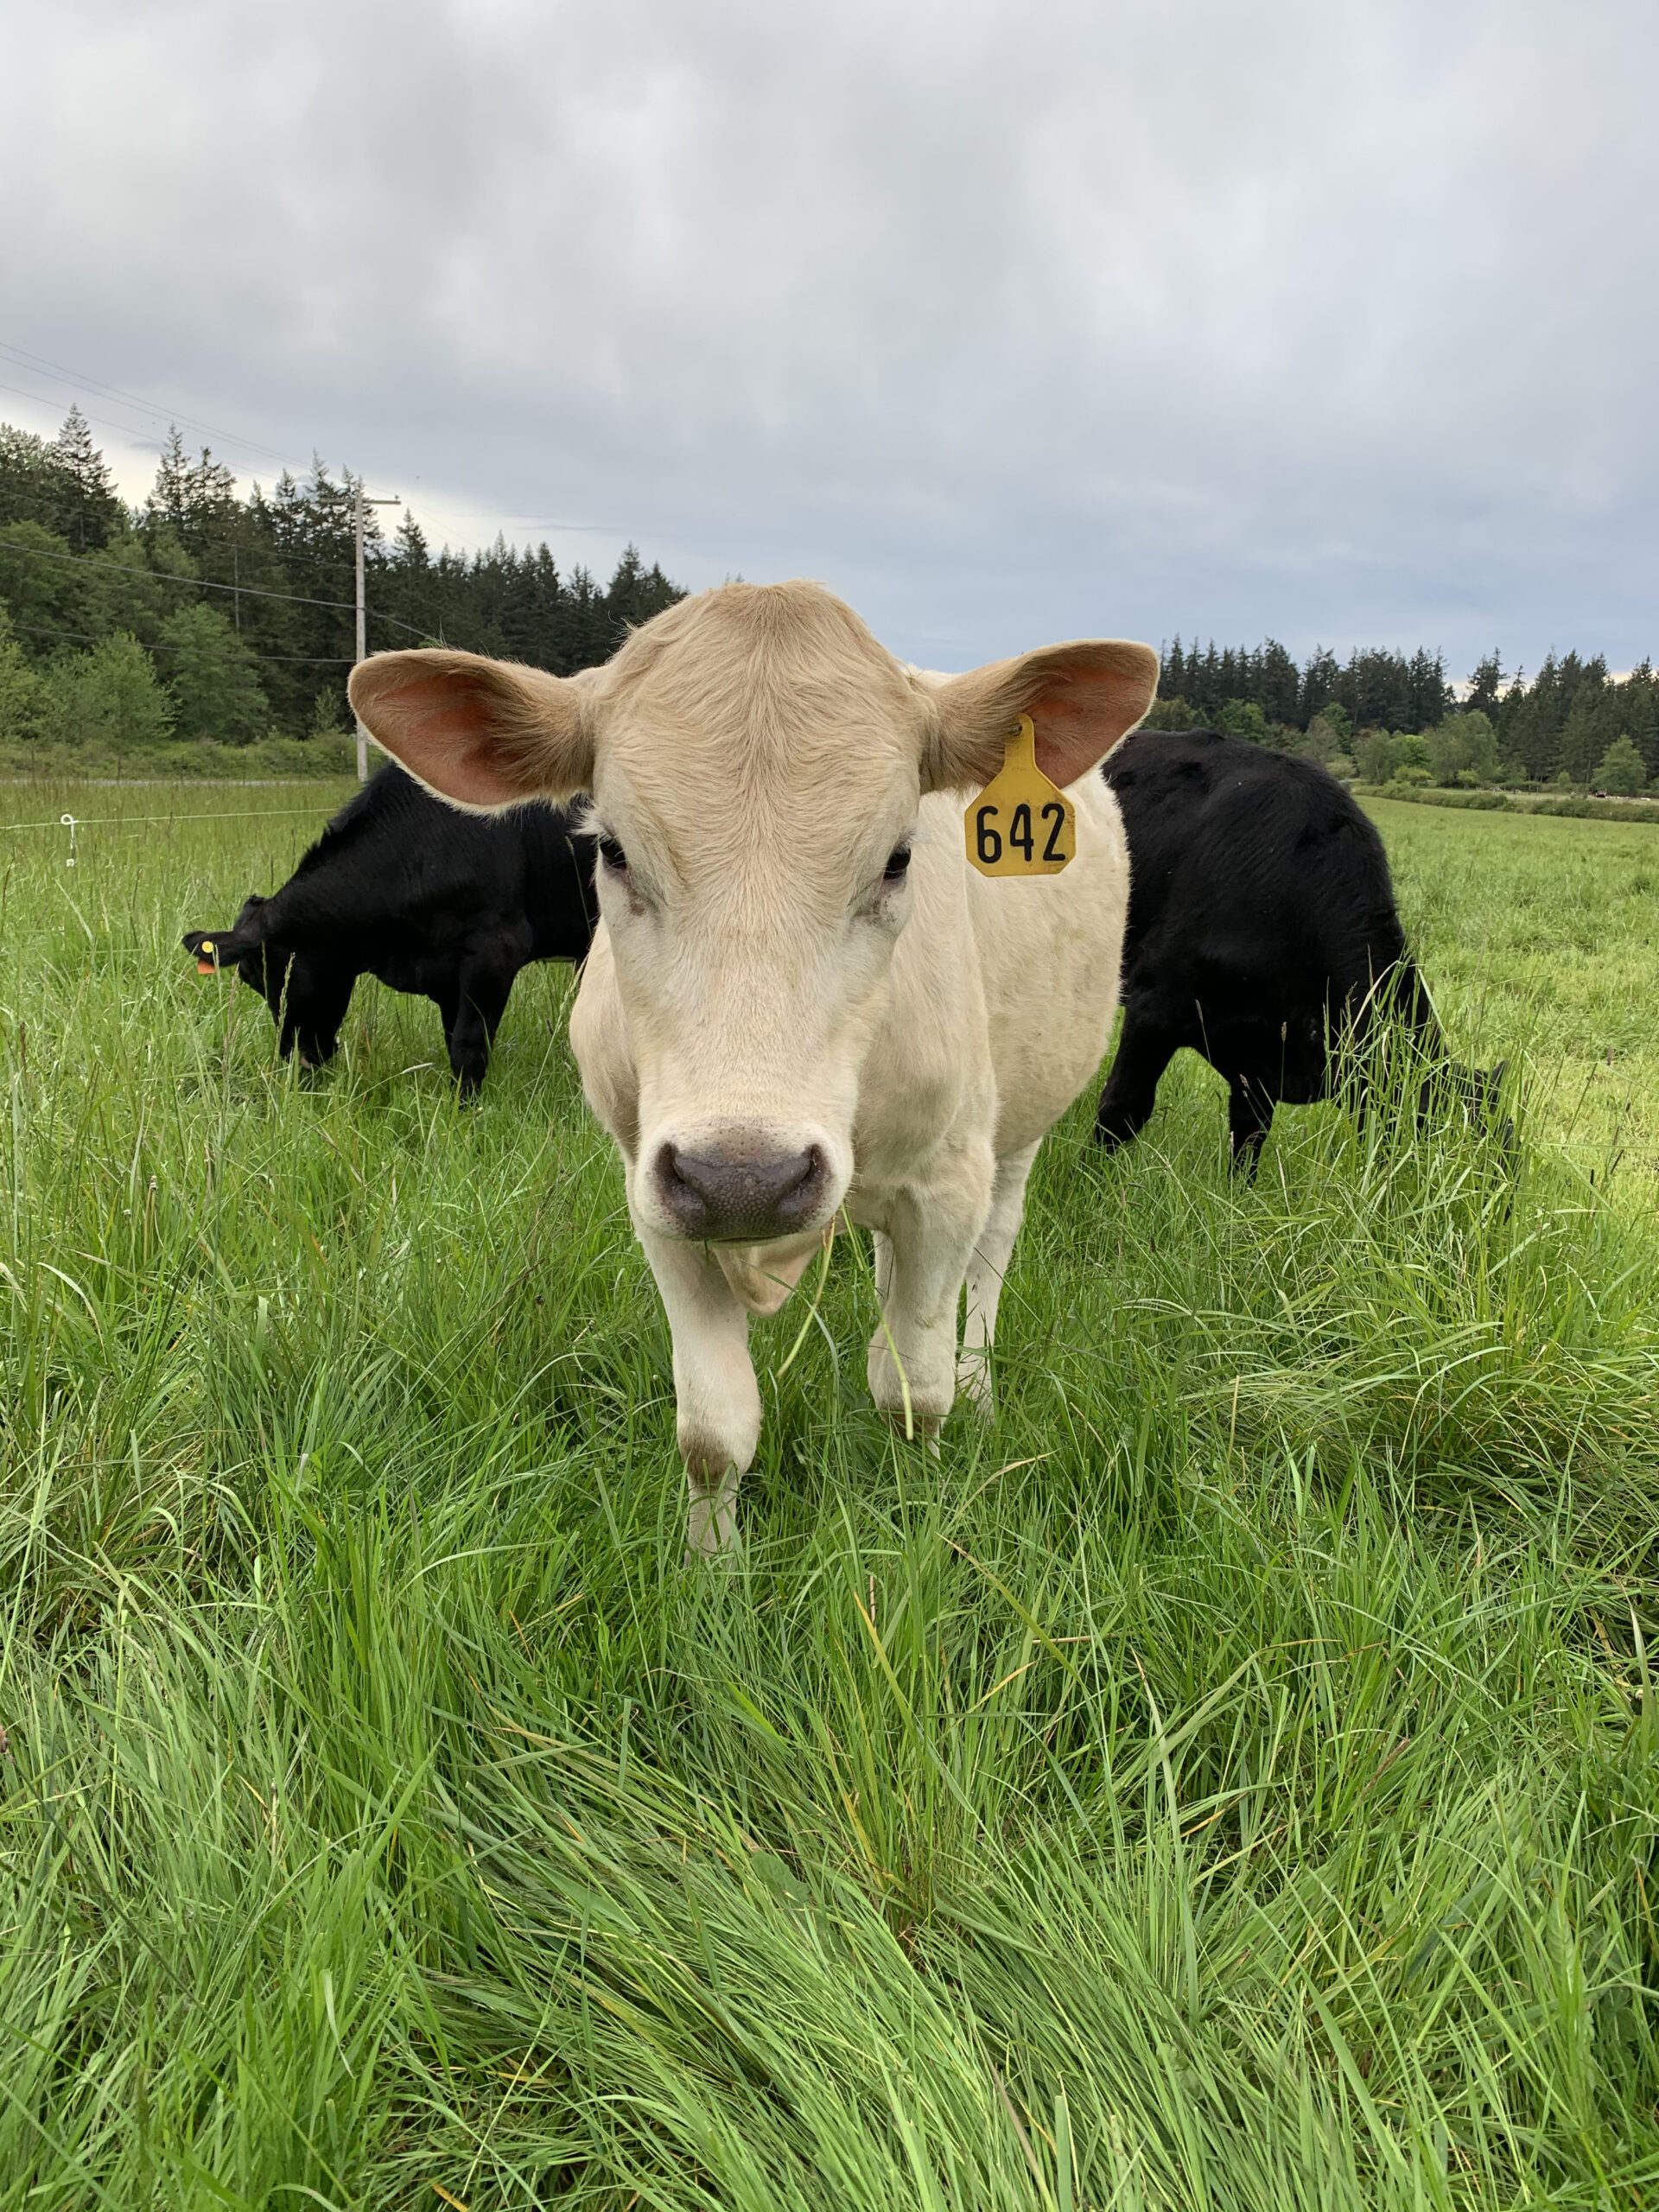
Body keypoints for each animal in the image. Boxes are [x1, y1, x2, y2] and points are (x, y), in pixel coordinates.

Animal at [182, 760, 596, 1096]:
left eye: (265, 975)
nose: (295, 1060)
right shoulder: (444, 971)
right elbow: (452, 1037)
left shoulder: (495, 950)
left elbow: (468, 1046)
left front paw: (465, 1114)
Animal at [349, 581, 1159, 1555]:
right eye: (612, 849)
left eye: (898, 858)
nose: (746, 1178)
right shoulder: (657, 1190)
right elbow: (713, 1426)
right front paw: (712, 1568)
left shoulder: (946, 1182)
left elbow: (914, 1393)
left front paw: (916, 1528)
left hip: (1017, 1134)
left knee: (987, 1268)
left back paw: (981, 1386)